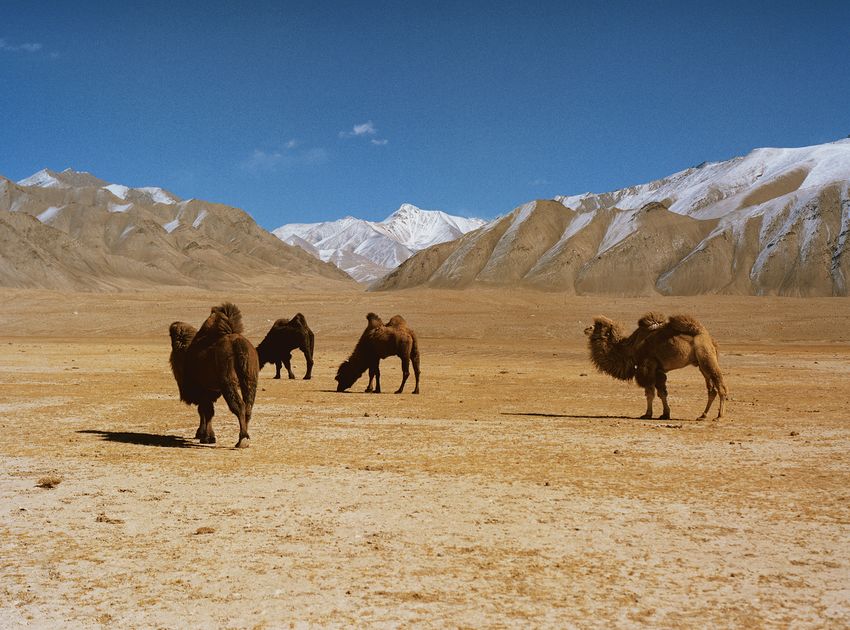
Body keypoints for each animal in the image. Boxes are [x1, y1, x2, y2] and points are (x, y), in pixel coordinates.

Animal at [169, 302, 259, 447]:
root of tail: (237, 344)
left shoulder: (203, 389)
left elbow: (206, 411)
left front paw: (206, 437)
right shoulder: (210, 390)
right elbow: (207, 412)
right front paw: (206, 436)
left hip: (228, 381)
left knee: (238, 406)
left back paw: (242, 440)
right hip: (250, 379)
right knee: (248, 406)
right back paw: (246, 437)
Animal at [584, 312, 727, 420]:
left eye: (599, 326)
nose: (586, 329)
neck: (630, 347)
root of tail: (709, 339)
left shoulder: (647, 366)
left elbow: (650, 392)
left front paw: (647, 414)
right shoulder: (658, 370)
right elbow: (662, 393)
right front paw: (665, 414)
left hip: (707, 357)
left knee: (721, 387)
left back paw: (719, 417)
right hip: (701, 364)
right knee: (711, 390)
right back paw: (702, 415)